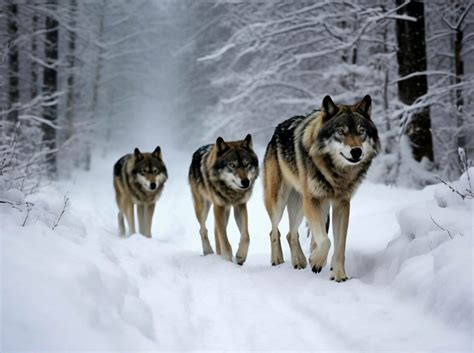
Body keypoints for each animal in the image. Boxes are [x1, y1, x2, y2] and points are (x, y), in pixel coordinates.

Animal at [188, 135, 260, 264]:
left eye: (246, 164)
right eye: (232, 165)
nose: (246, 182)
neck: (231, 192)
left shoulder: (240, 206)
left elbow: (246, 236)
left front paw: (240, 256)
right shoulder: (219, 207)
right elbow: (225, 241)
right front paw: (227, 260)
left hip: (225, 211)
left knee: (215, 232)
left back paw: (218, 255)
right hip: (203, 207)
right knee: (203, 229)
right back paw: (208, 252)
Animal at [262, 94, 382, 280]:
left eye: (361, 131)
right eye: (341, 132)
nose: (357, 151)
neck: (336, 173)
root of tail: (276, 130)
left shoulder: (342, 204)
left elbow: (339, 245)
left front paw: (339, 274)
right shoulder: (312, 200)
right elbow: (326, 240)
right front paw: (317, 261)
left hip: (301, 205)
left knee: (291, 234)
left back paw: (299, 261)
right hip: (280, 203)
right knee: (274, 231)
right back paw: (278, 260)